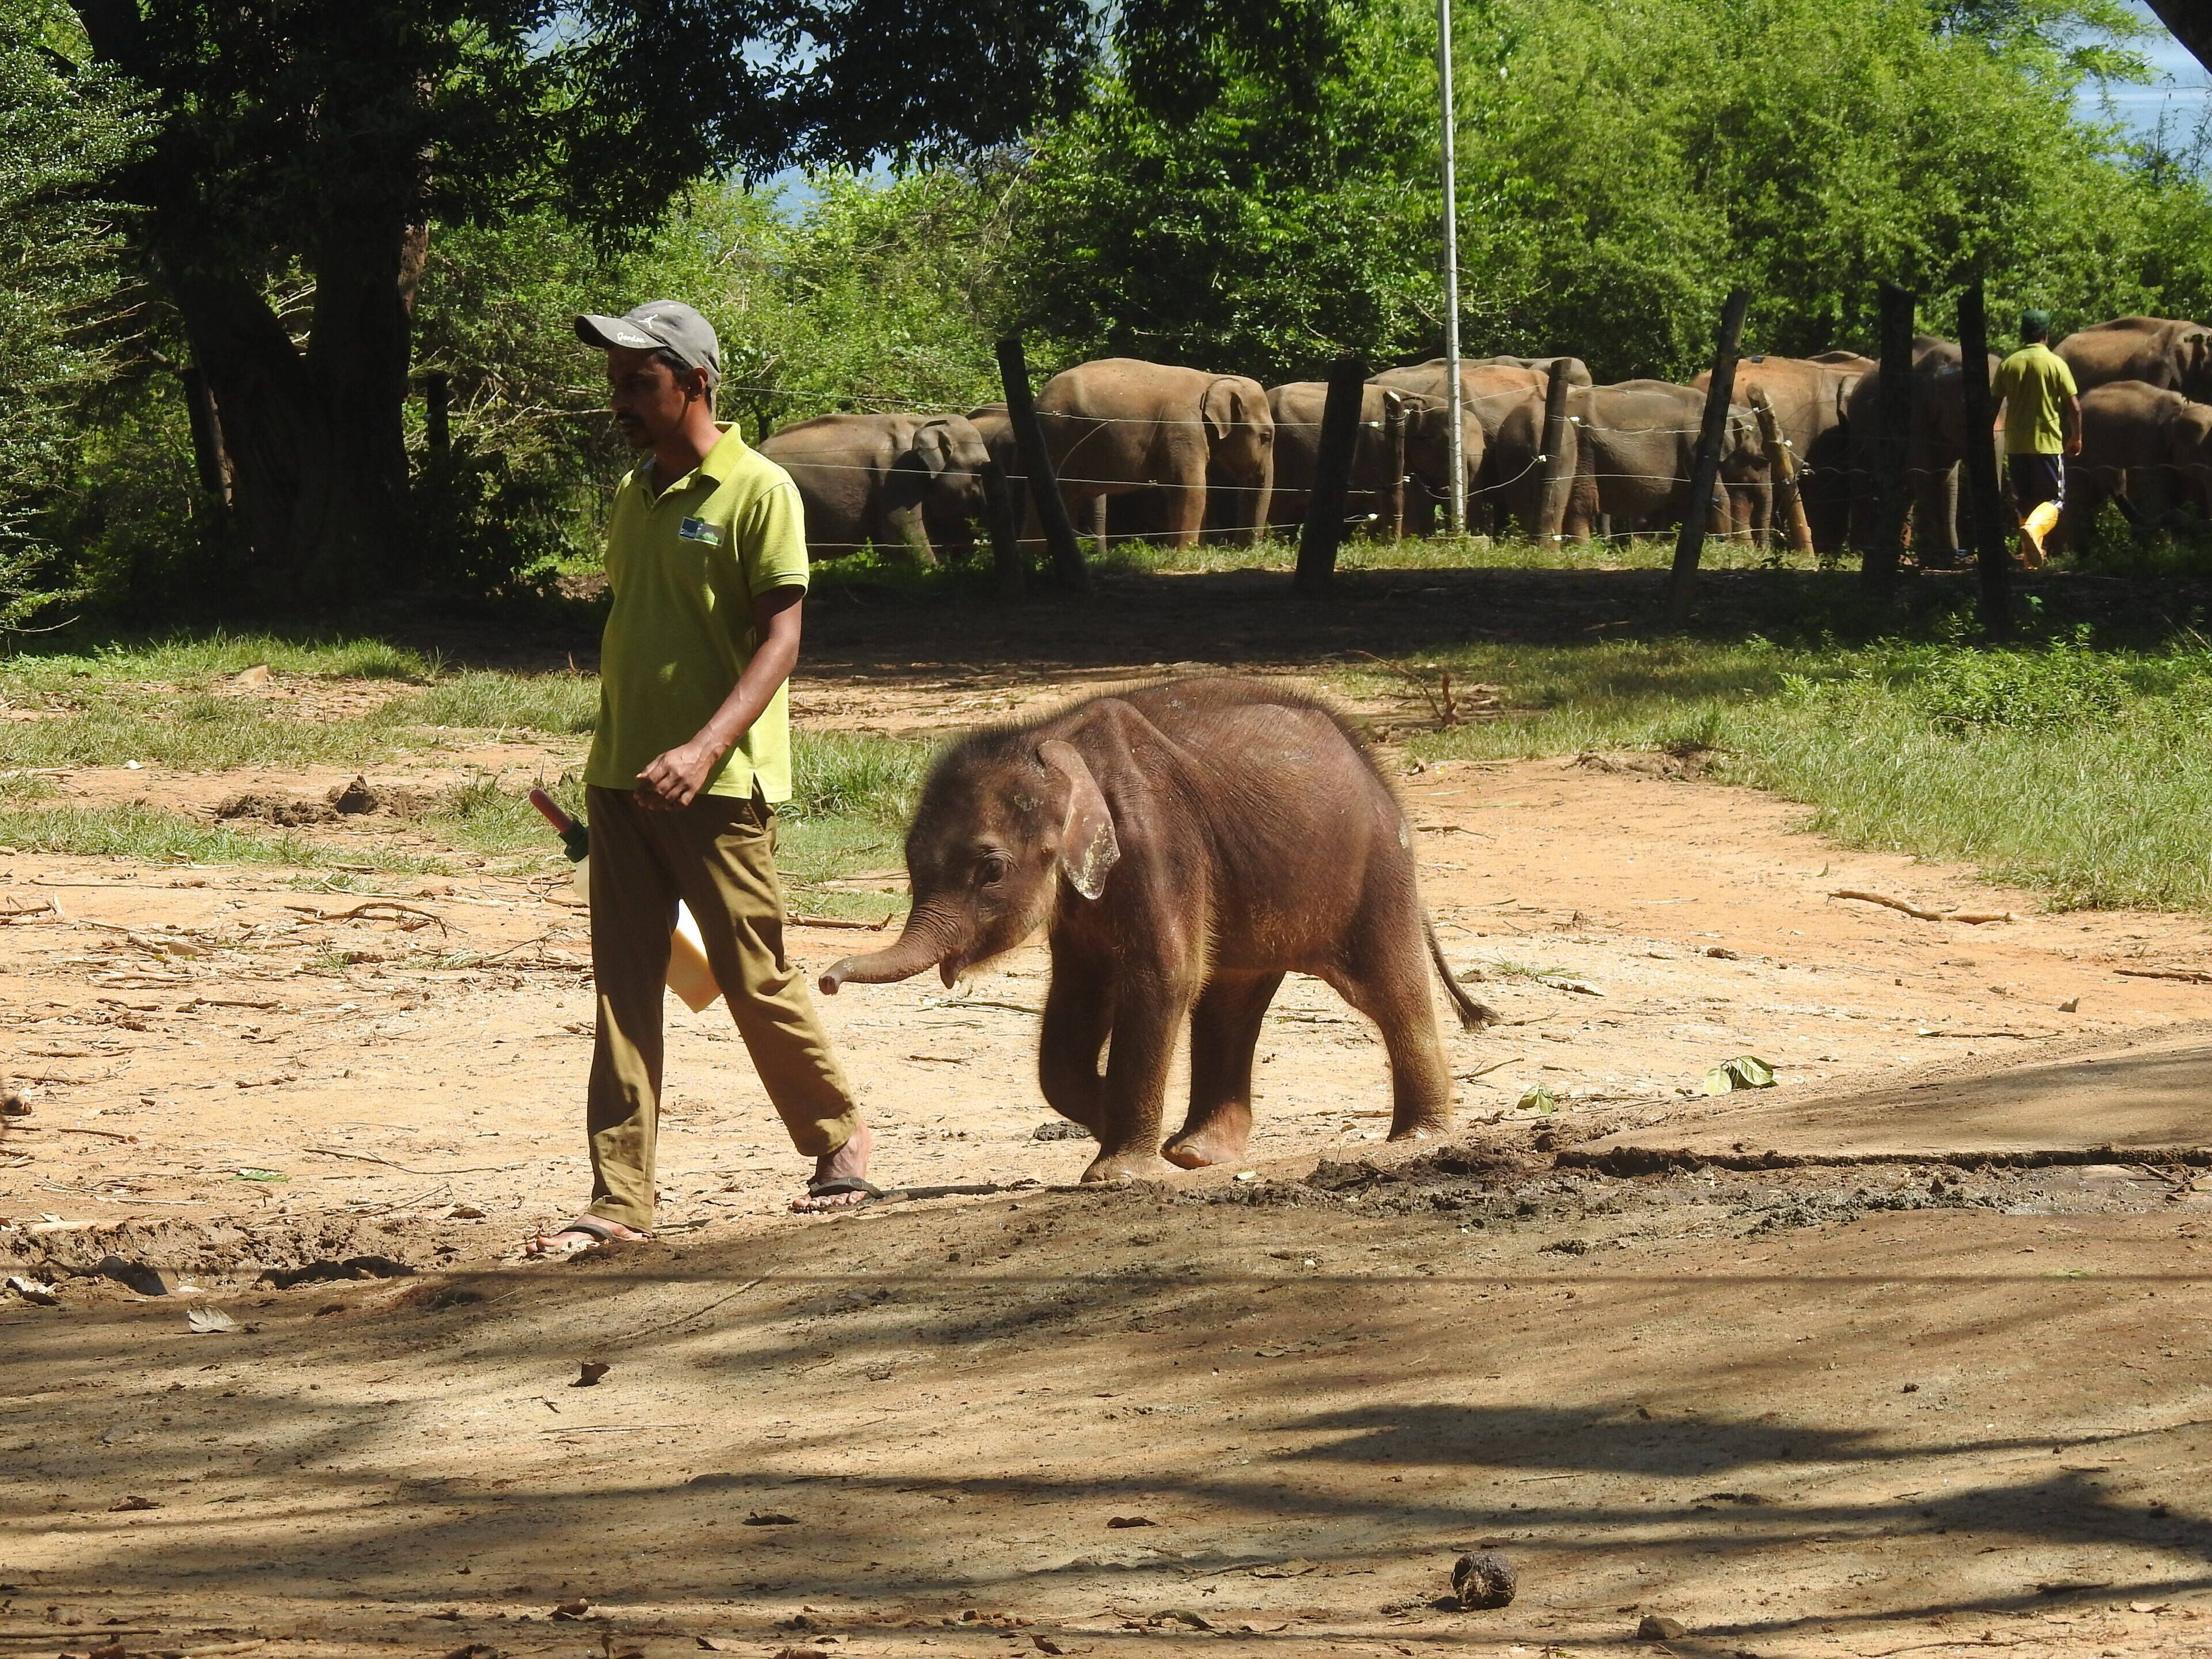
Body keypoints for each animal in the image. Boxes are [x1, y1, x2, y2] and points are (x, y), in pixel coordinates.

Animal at [817, 678, 1496, 1183]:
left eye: (992, 870)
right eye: (910, 863)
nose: (825, 981)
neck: (1051, 741)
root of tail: (1376, 768)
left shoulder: (1159, 841)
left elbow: (1162, 976)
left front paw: (1115, 1170)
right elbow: (1078, 998)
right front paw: (1107, 1119)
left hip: (1377, 867)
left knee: (1390, 990)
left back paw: (1415, 1138)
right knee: (1230, 1000)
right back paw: (1196, 1154)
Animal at [1028, 359, 1274, 550]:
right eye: (1266, 437)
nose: (1237, 548)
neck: (1212, 379)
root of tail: (1038, 398)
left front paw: (1197, 550)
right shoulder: (1183, 428)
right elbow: (1190, 487)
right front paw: (1185, 553)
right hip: (1056, 435)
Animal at [1492, 380, 1770, 543]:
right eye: (1761, 461)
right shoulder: (1695, 446)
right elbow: (1716, 497)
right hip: (1583, 451)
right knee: (1581, 504)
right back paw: (1583, 548)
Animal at [2052, 380, 2212, 551]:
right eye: (2201, 453)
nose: (2120, 476)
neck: (2183, 409)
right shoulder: (2149, 448)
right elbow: (2157, 503)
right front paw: (2164, 548)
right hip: (2076, 450)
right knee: (2079, 503)